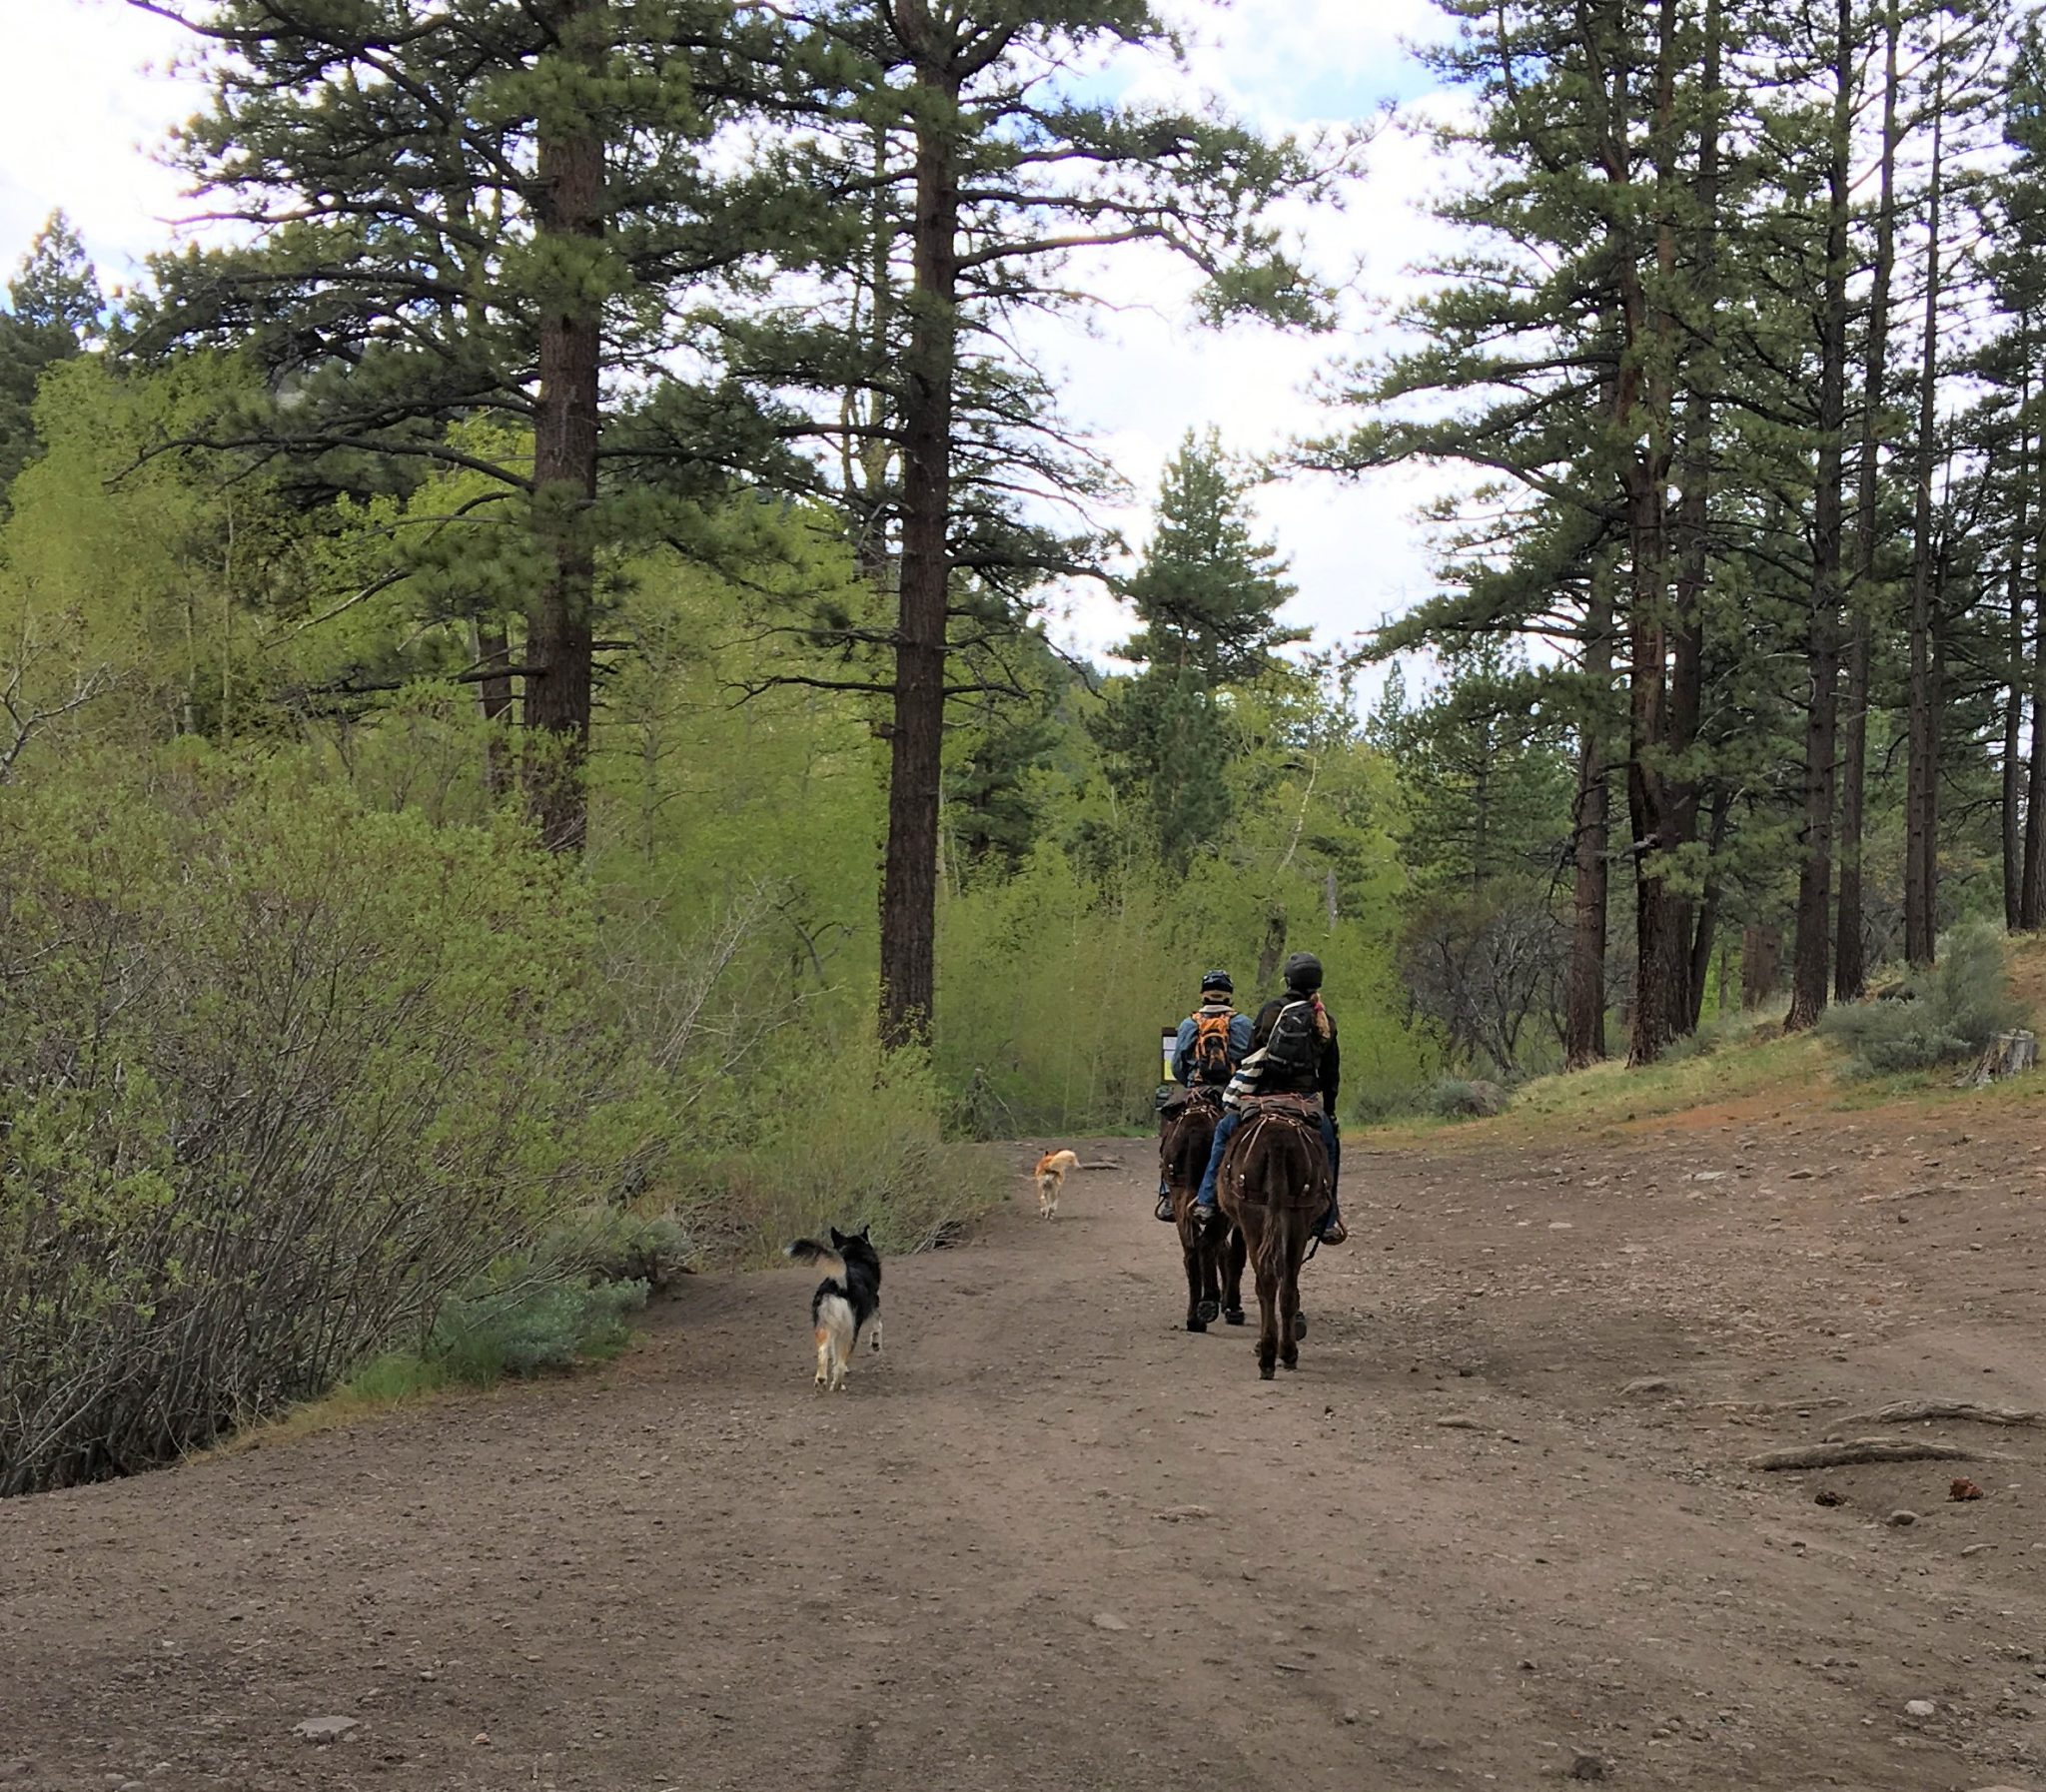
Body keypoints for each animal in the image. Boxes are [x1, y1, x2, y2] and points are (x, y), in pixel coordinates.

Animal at [784, 1225, 883, 1392]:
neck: (854, 1253)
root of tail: (840, 1283)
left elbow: (833, 1353)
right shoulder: (873, 1303)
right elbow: (878, 1325)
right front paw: (876, 1345)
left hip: (823, 1326)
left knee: (823, 1351)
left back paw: (821, 1379)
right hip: (850, 1331)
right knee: (840, 1364)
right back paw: (837, 1384)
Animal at [1161, 1091, 1245, 1332]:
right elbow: (1236, 1254)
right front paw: (1232, 1305)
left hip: (1181, 1195)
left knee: (1191, 1251)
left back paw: (1195, 1318)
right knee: (1207, 1245)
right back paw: (1210, 1301)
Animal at [1215, 1095, 1332, 1379]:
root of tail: (1278, 1142)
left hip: (1254, 1220)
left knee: (1265, 1281)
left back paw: (1267, 1353)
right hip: (1297, 1219)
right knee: (1286, 1285)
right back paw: (1286, 1352)